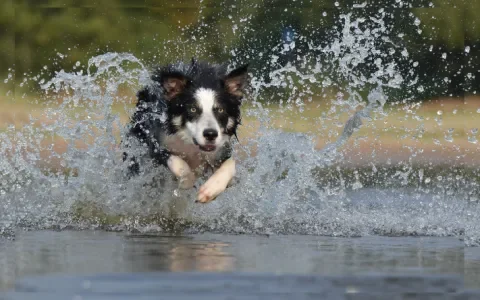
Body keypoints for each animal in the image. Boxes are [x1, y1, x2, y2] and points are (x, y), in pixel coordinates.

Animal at [122, 58, 249, 204]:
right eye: (192, 109)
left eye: (220, 110)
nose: (211, 134)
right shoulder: (155, 143)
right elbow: (178, 163)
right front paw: (187, 181)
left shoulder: (222, 150)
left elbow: (230, 165)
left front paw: (210, 190)